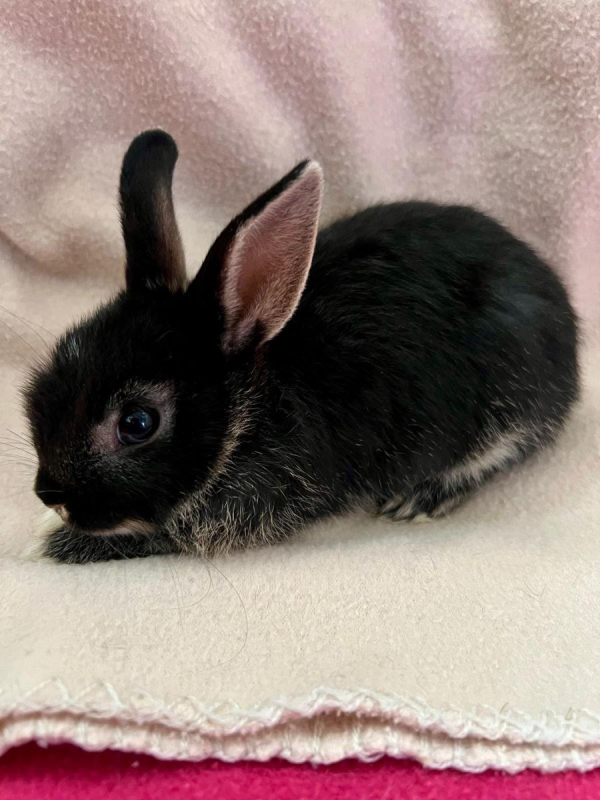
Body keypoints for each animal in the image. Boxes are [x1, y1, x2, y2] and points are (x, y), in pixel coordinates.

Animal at [24, 130, 579, 564]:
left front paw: (46, 542)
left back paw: (420, 496)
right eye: (44, 381)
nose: (49, 495)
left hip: (509, 401)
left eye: (138, 424)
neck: (250, 412)